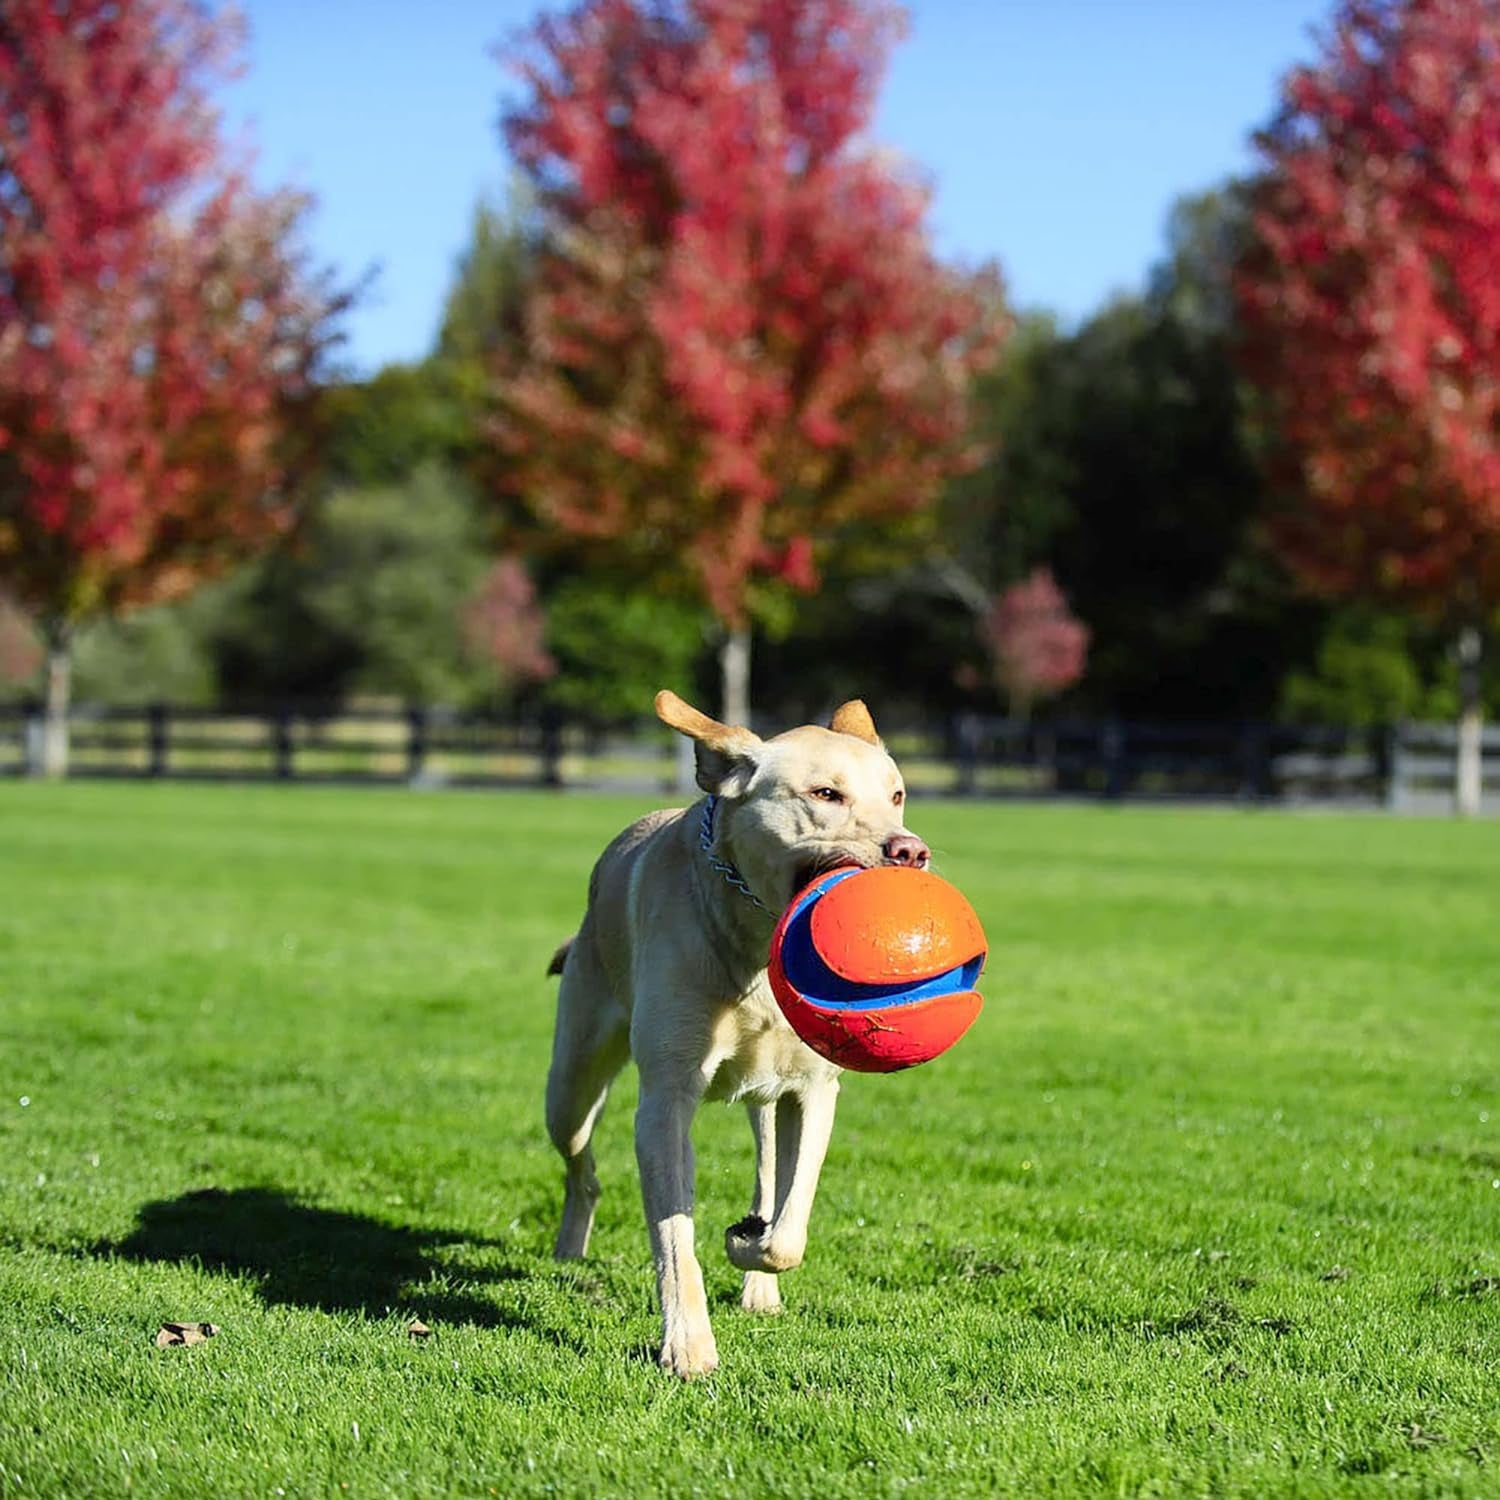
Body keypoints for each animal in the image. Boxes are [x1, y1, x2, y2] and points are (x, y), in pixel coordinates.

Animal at [546, 687, 930, 1374]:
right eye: (826, 795)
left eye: (896, 795)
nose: (910, 851)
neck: (756, 949)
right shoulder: (666, 1101)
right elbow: (675, 1237)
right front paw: (688, 1346)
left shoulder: (814, 1090)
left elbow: (789, 1226)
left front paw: (750, 1245)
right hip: (569, 1086)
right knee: (581, 1164)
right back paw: (571, 1245)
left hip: (766, 1101)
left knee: (769, 1169)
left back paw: (758, 1275)